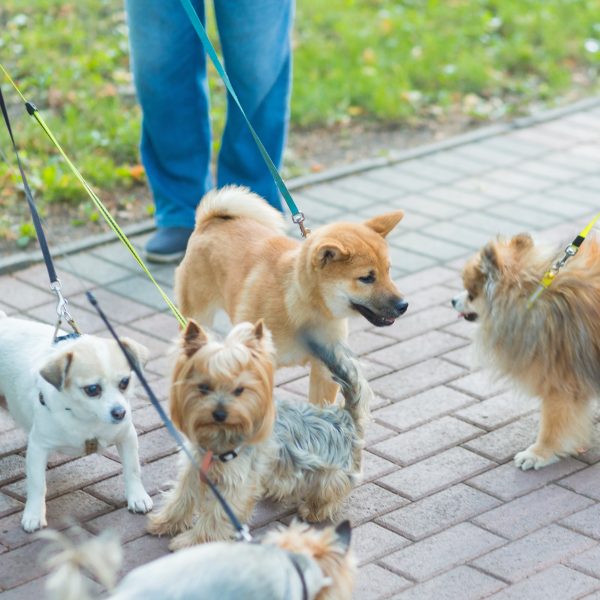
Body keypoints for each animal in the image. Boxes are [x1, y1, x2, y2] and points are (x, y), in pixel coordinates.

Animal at [0, 314, 152, 528]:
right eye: (92, 389)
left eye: (125, 382)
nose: (120, 412)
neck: (87, 418)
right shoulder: (38, 447)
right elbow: (37, 484)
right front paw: (34, 514)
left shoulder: (127, 437)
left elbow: (132, 469)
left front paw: (137, 497)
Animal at [175, 185, 408, 406]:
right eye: (367, 278)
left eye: (388, 271)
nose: (404, 305)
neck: (301, 307)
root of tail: (210, 221)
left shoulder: (327, 369)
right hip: (197, 317)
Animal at [454, 232, 600, 472]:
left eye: (471, 293)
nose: (453, 300)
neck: (535, 297)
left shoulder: (560, 384)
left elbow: (551, 425)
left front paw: (538, 454)